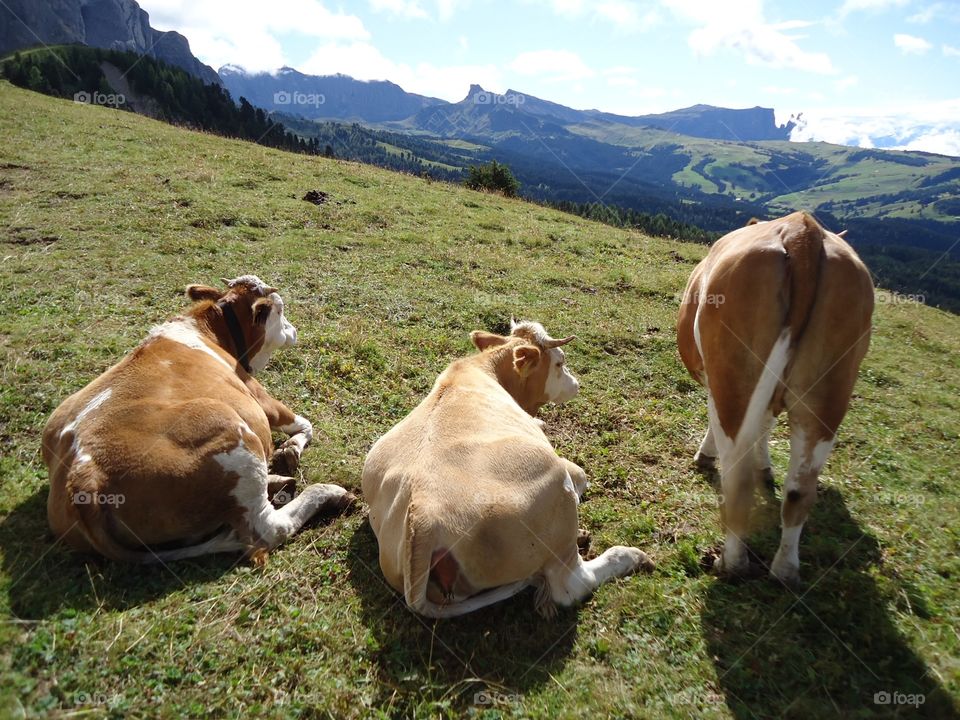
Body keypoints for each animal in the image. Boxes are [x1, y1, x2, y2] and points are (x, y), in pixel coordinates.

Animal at [43, 275, 353, 563]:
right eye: (280, 309)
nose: (294, 330)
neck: (208, 330)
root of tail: (84, 475)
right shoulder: (262, 400)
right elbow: (305, 424)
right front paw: (291, 448)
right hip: (229, 428)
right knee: (268, 528)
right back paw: (328, 493)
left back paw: (278, 480)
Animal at [362, 320, 654, 618]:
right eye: (560, 363)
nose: (576, 384)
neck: (483, 369)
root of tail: (423, 514)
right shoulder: (565, 468)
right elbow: (582, 476)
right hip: (556, 490)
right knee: (570, 585)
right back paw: (629, 557)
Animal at [677, 211, 874, 585]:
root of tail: (803, 229)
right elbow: (766, 426)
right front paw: (765, 464)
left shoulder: (714, 381)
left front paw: (706, 455)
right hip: (830, 393)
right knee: (799, 492)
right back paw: (785, 570)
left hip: (733, 381)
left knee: (738, 483)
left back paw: (731, 563)